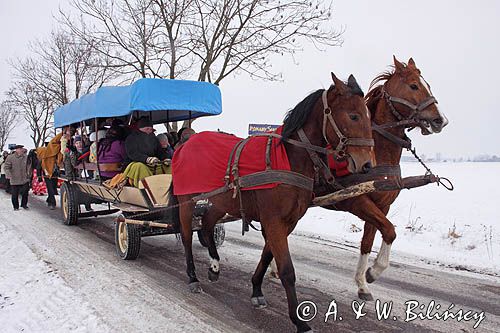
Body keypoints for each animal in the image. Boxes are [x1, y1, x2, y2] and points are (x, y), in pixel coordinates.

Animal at [172, 73, 376, 332]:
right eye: (353, 115)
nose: (367, 164)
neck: (288, 160)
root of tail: (185, 143)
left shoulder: (287, 222)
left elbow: (267, 255)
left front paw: (256, 289)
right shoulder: (274, 221)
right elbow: (287, 269)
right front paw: (299, 321)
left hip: (220, 202)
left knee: (207, 225)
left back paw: (214, 266)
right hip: (186, 200)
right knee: (187, 236)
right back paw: (192, 276)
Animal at [316, 55, 450, 300]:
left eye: (428, 85)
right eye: (414, 86)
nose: (440, 120)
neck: (377, 154)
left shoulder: (382, 206)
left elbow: (368, 242)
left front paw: (362, 283)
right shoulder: (357, 201)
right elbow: (390, 230)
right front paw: (373, 272)